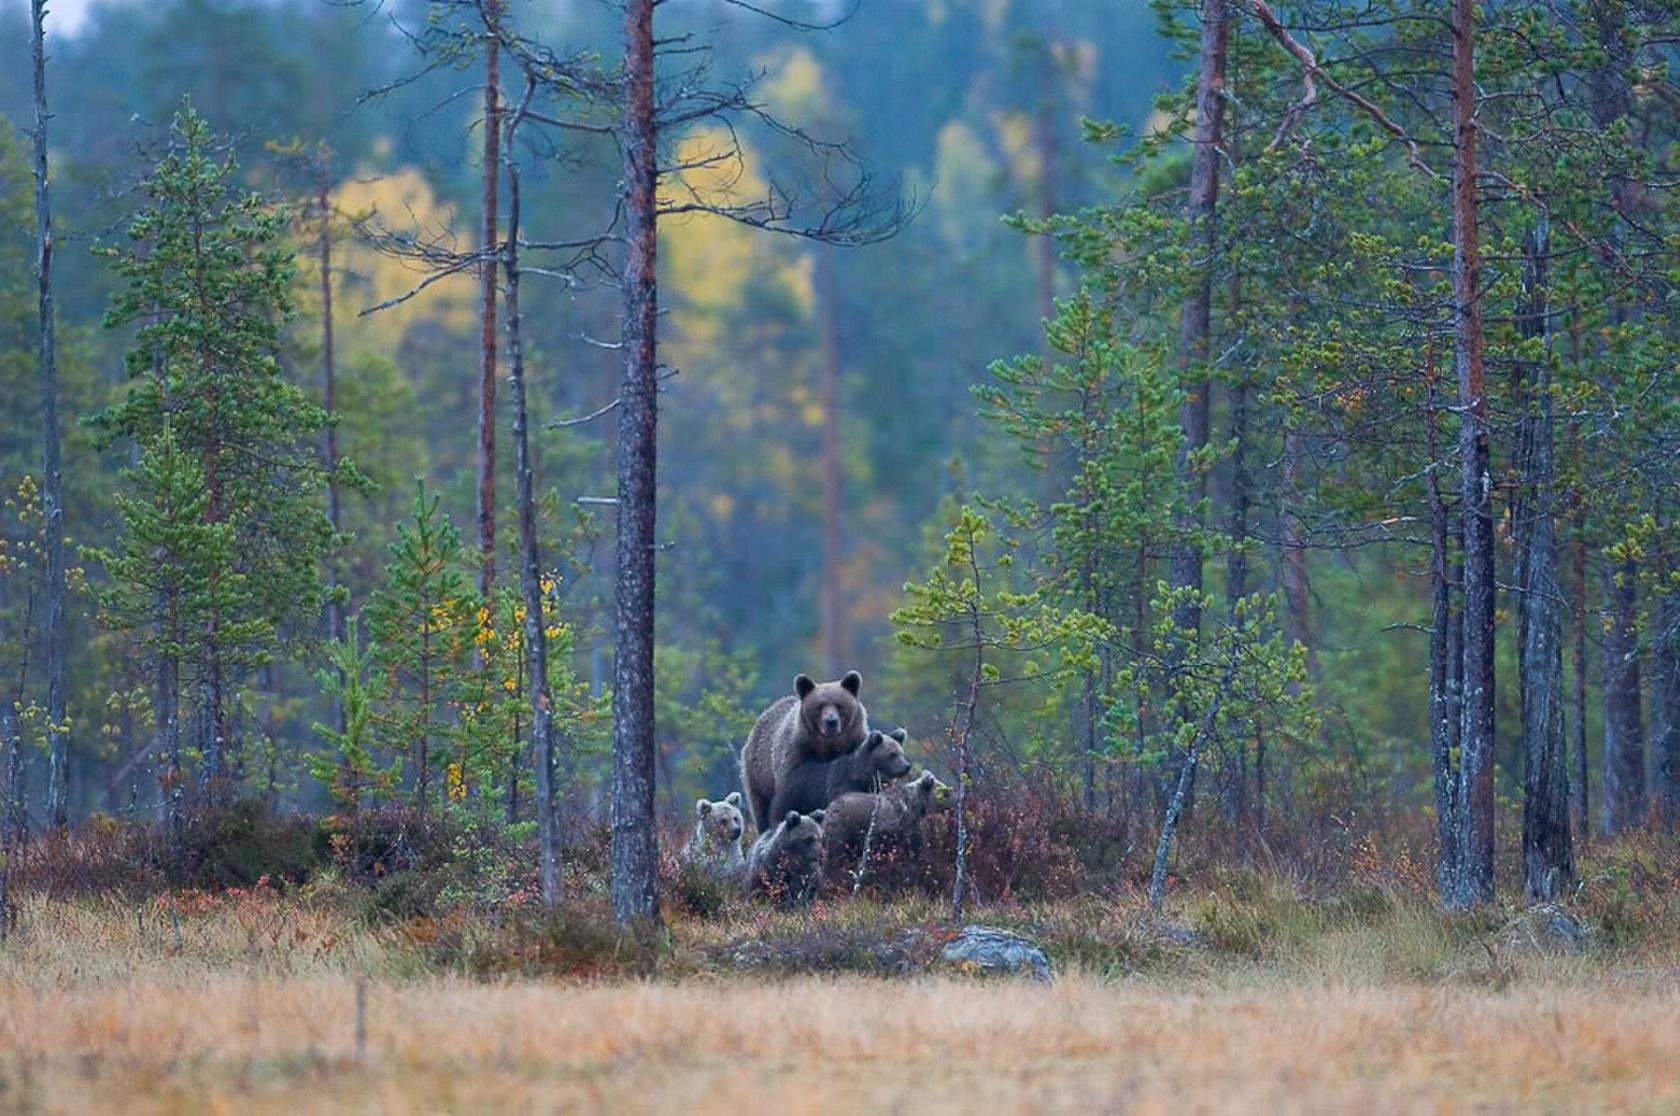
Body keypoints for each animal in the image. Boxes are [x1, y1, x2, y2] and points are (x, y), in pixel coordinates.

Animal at [745, 665, 873, 833]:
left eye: (839, 705)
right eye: (820, 706)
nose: (831, 721)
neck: (828, 745)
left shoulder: (854, 743)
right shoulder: (796, 753)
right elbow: (789, 796)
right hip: (758, 774)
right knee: (760, 807)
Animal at [769, 722, 913, 820]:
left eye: (901, 753)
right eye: (892, 754)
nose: (906, 766)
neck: (862, 776)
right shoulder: (841, 783)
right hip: (797, 794)